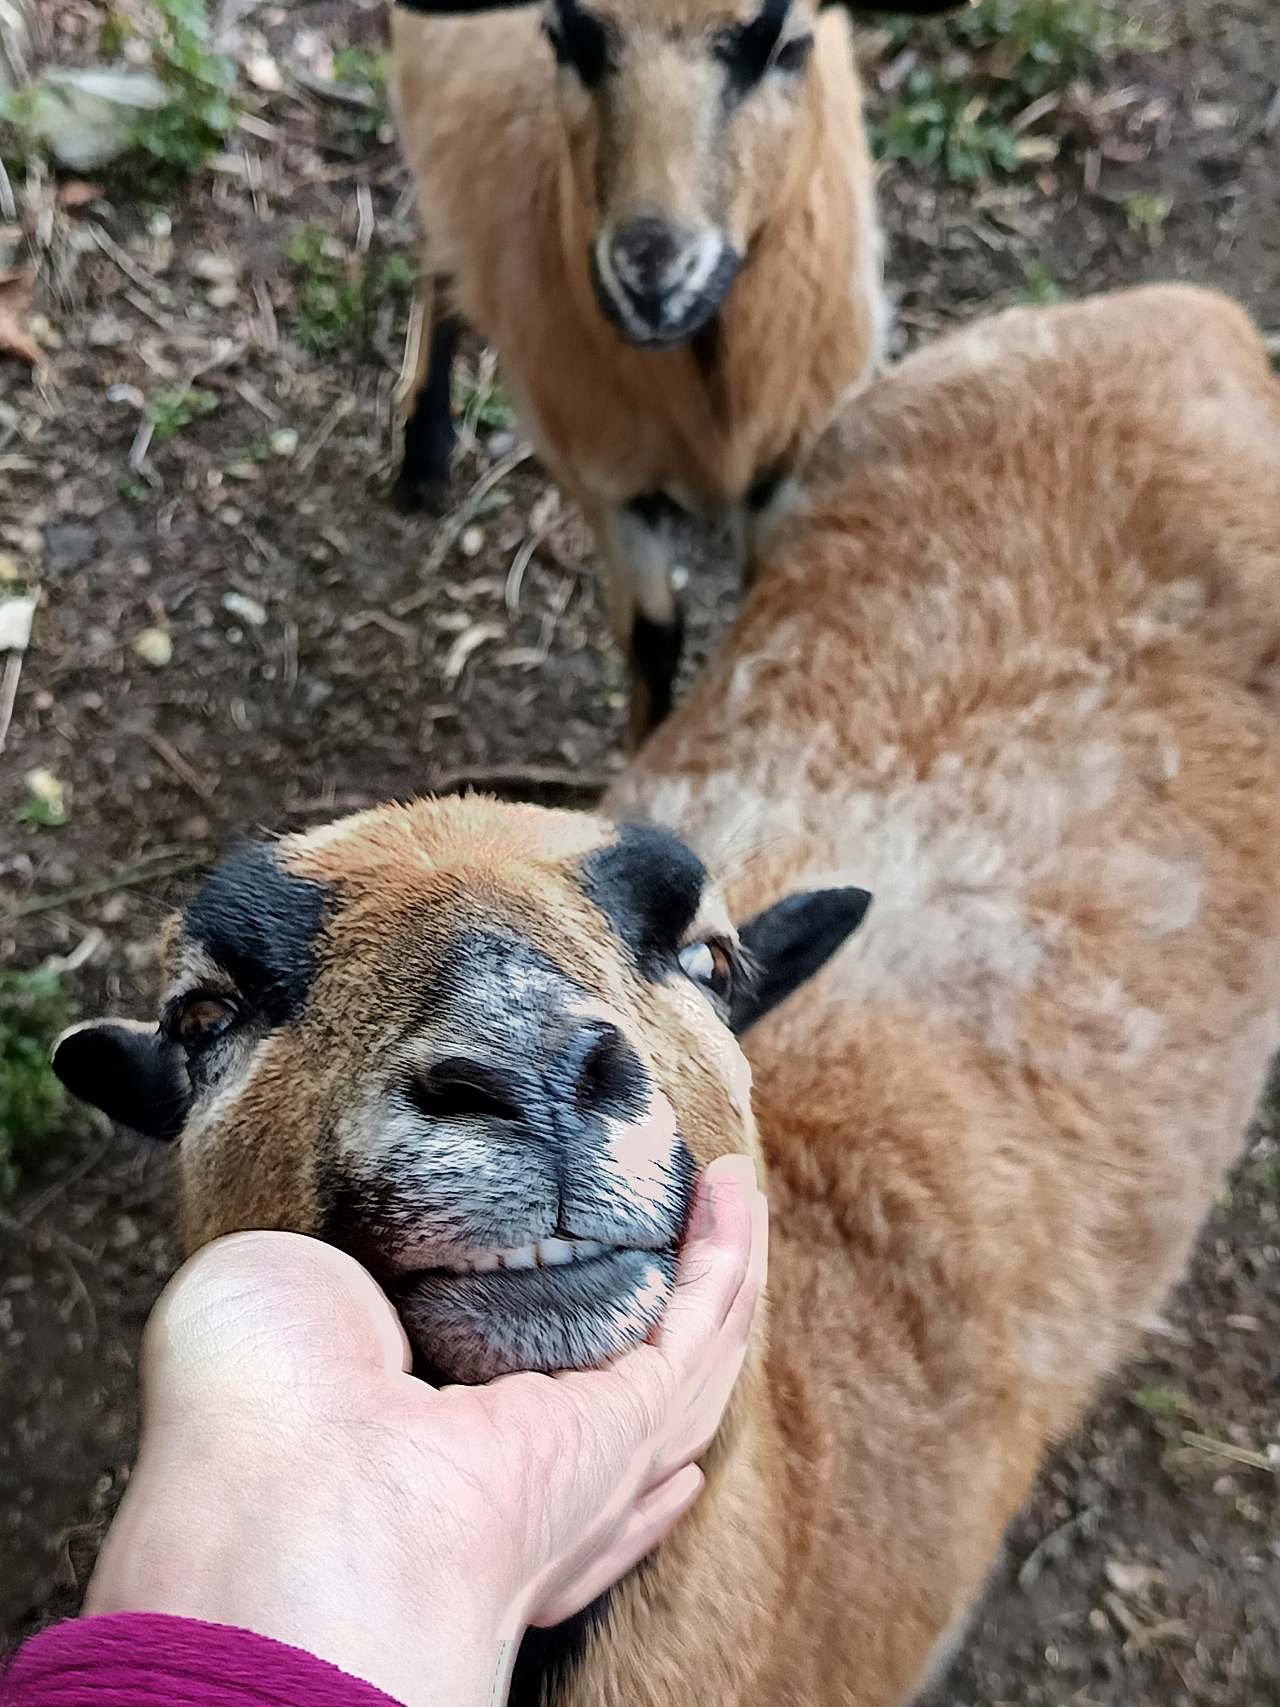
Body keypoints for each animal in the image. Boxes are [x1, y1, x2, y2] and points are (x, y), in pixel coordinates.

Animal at [394, 0, 969, 740]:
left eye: (787, 44)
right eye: (565, 34)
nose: (650, 271)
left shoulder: (788, 461)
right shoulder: (604, 476)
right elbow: (653, 637)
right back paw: (422, 452)